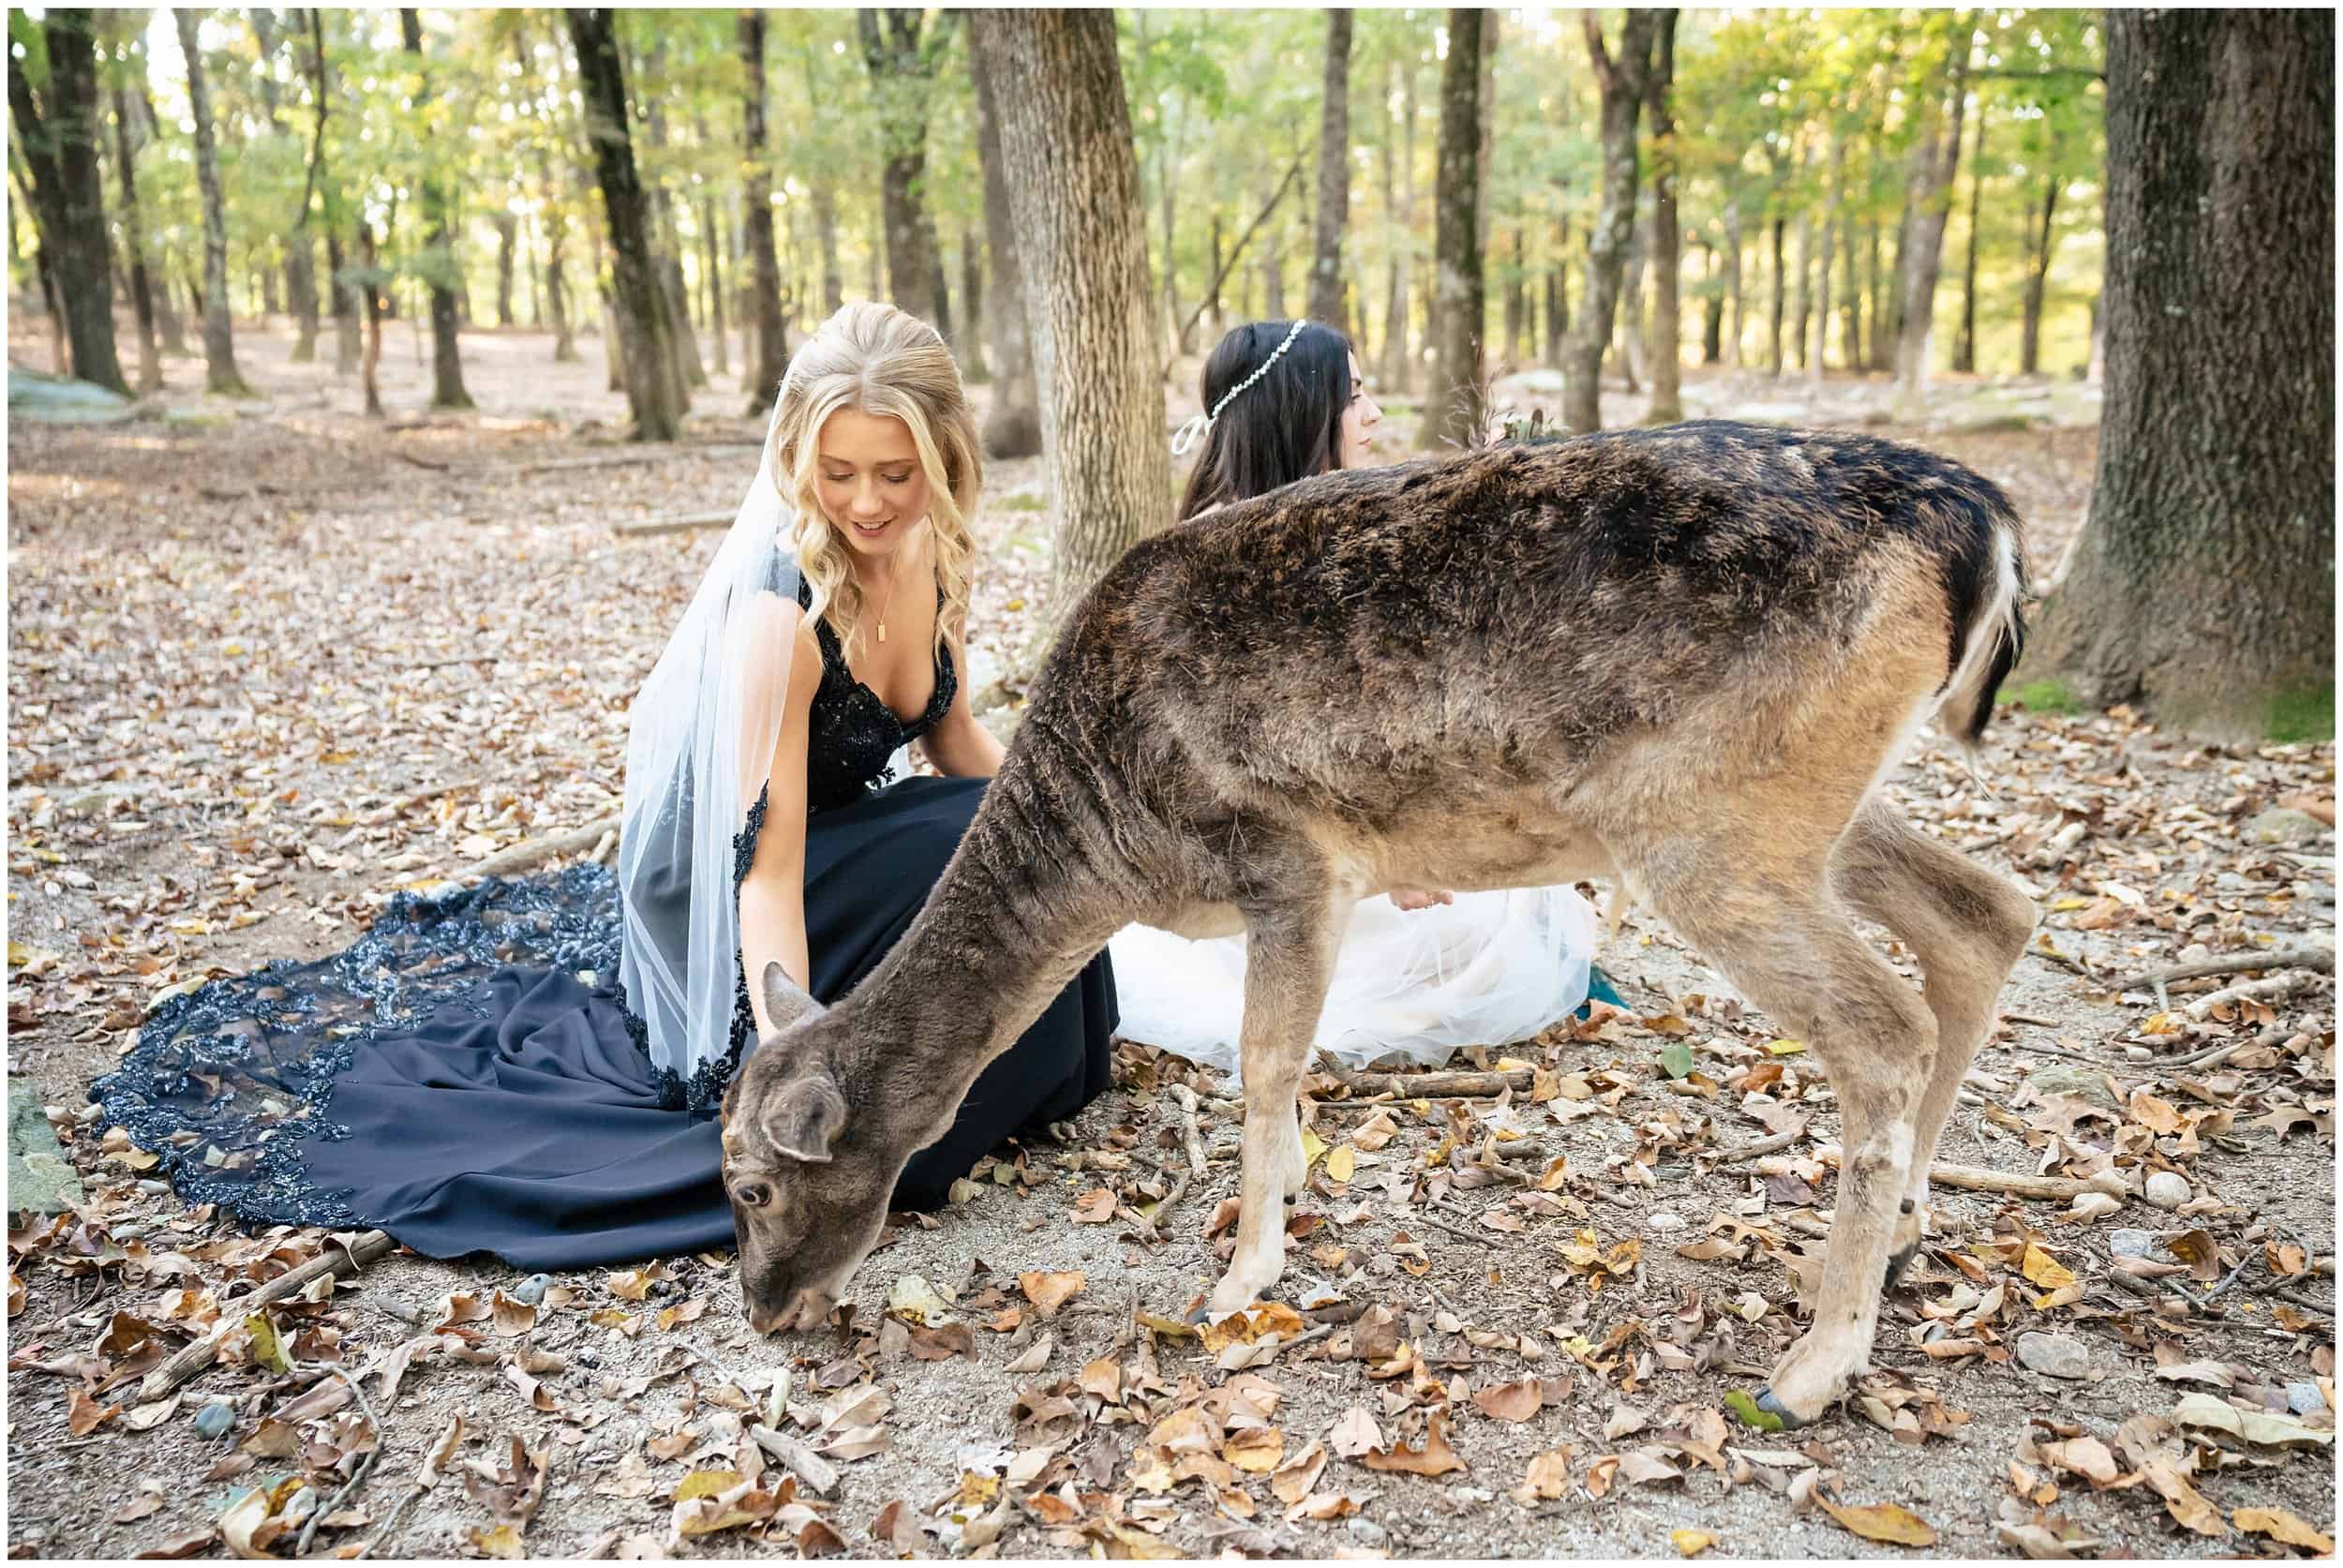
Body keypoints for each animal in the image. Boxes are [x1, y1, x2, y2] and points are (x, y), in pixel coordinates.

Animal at [722, 422, 2043, 1425]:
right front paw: (1285, 1202)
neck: (1113, 848)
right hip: (1800, 801)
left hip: (1709, 818)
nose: (763, 1310)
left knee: (1885, 1024)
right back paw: (1913, 1222)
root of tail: (1978, 520)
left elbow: (1263, 1060)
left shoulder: (1293, 855)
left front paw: (1239, 1277)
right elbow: (1284, 1062)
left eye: (751, 1187)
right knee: (1987, 913)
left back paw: (1813, 1367)